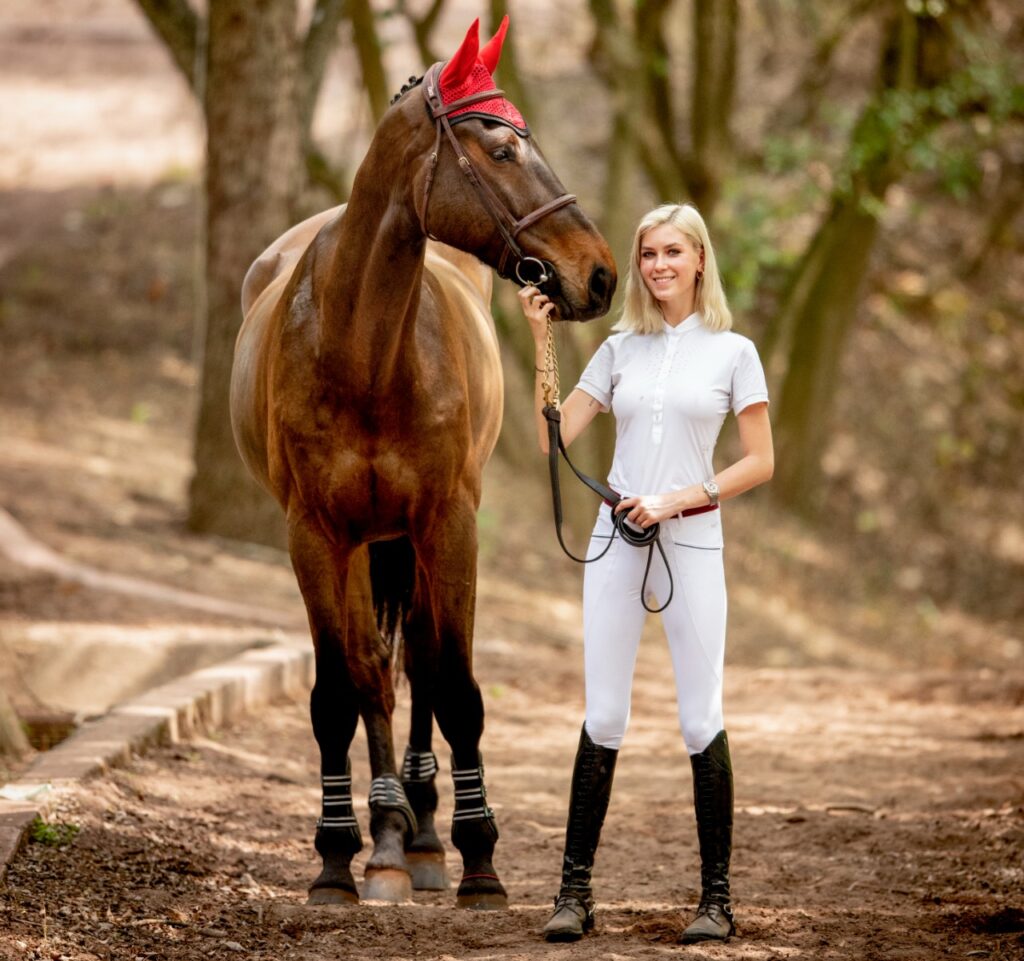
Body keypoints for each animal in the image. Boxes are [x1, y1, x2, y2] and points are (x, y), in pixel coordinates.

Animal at [233, 20, 614, 905]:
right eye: (502, 150)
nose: (600, 273)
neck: (362, 347)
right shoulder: (315, 536)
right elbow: (340, 692)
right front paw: (340, 856)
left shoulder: (448, 523)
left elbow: (456, 688)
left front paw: (477, 856)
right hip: (368, 543)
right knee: (379, 669)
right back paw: (386, 836)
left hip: (406, 539)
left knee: (422, 667)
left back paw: (426, 835)